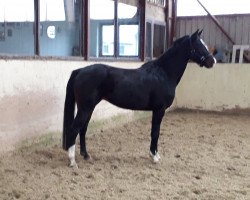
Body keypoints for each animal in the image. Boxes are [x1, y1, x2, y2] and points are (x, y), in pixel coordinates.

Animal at [62, 29, 215, 167]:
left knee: (83, 129)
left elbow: (155, 132)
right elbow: (155, 132)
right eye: (199, 46)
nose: (212, 61)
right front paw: (154, 157)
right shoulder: (159, 110)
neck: (163, 73)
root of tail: (80, 71)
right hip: (86, 108)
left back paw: (86, 155)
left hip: (89, 107)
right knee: (74, 129)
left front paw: (155, 154)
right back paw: (72, 161)